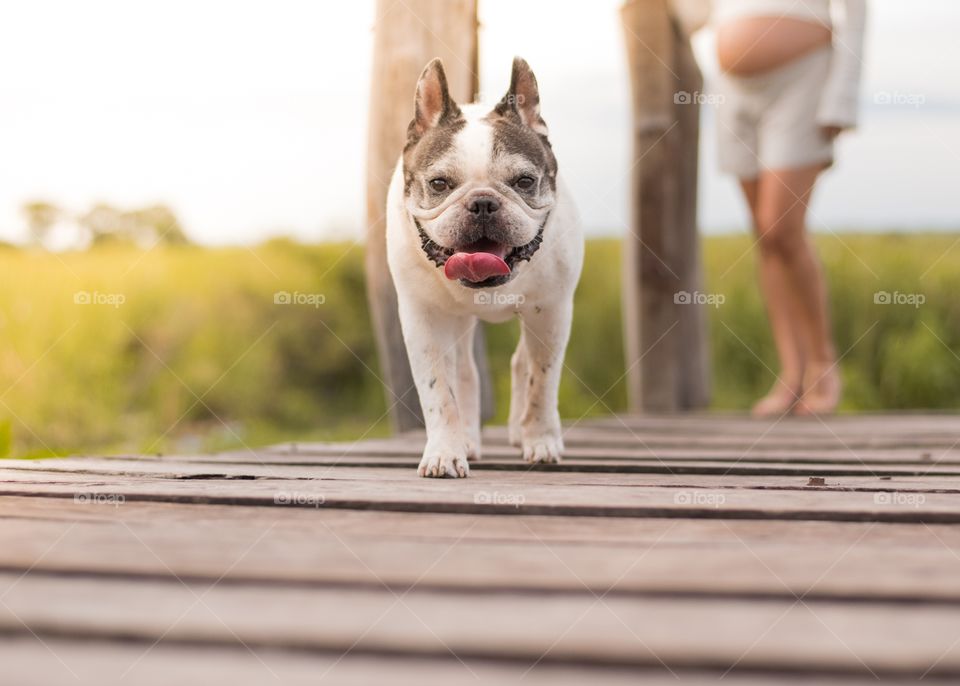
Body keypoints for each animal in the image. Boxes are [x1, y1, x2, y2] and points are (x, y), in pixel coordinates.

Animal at [384, 57, 580, 478]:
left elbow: (542, 381)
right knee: (464, 373)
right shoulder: (425, 320)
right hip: (457, 321)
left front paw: (541, 440)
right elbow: (439, 389)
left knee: (523, 364)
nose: (483, 202)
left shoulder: (551, 313)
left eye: (524, 181)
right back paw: (468, 440)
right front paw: (445, 451)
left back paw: (520, 434)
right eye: (439, 184)